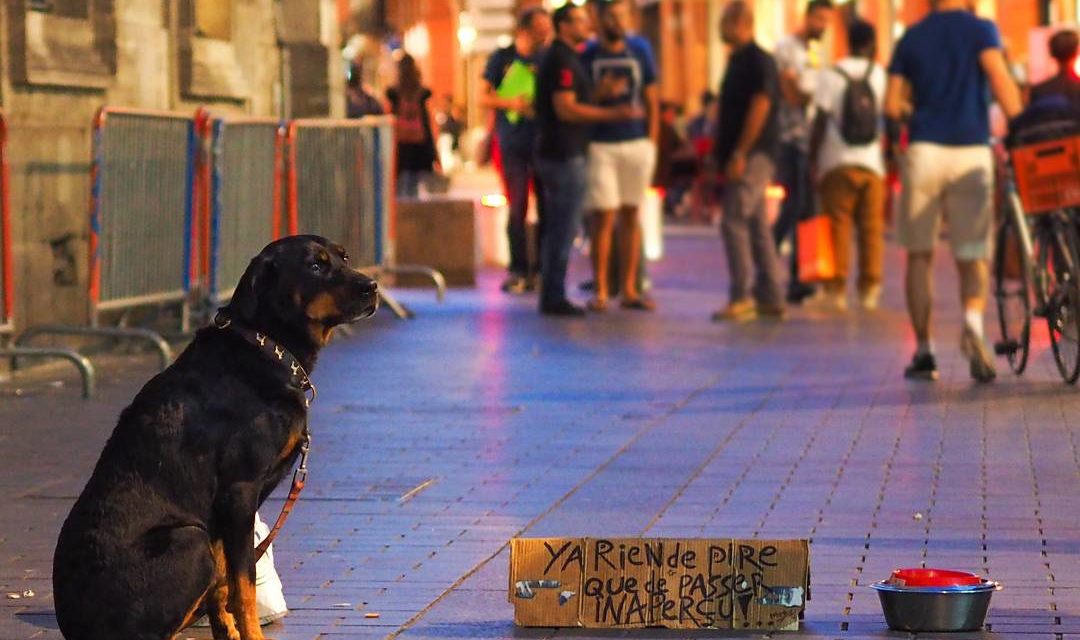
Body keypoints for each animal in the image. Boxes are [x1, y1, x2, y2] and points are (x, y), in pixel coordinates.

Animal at [51, 236, 380, 638]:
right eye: (316, 265)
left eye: (343, 256)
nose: (372, 287)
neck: (267, 345)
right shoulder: (240, 491)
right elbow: (243, 585)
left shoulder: (224, 513)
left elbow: (223, 584)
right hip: (188, 539)